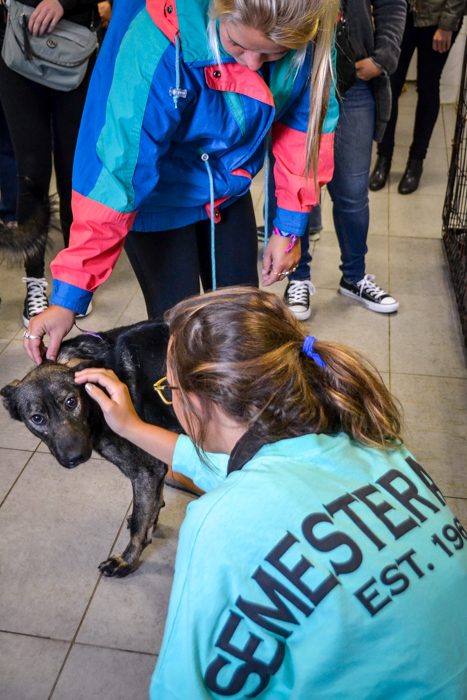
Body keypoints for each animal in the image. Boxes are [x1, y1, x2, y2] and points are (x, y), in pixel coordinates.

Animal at [0, 320, 182, 576]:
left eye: (71, 402)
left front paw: (127, 560)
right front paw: (152, 520)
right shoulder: (155, 467)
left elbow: (139, 525)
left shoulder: (146, 470)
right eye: (37, 418)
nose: (75, 457)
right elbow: (152, 505)